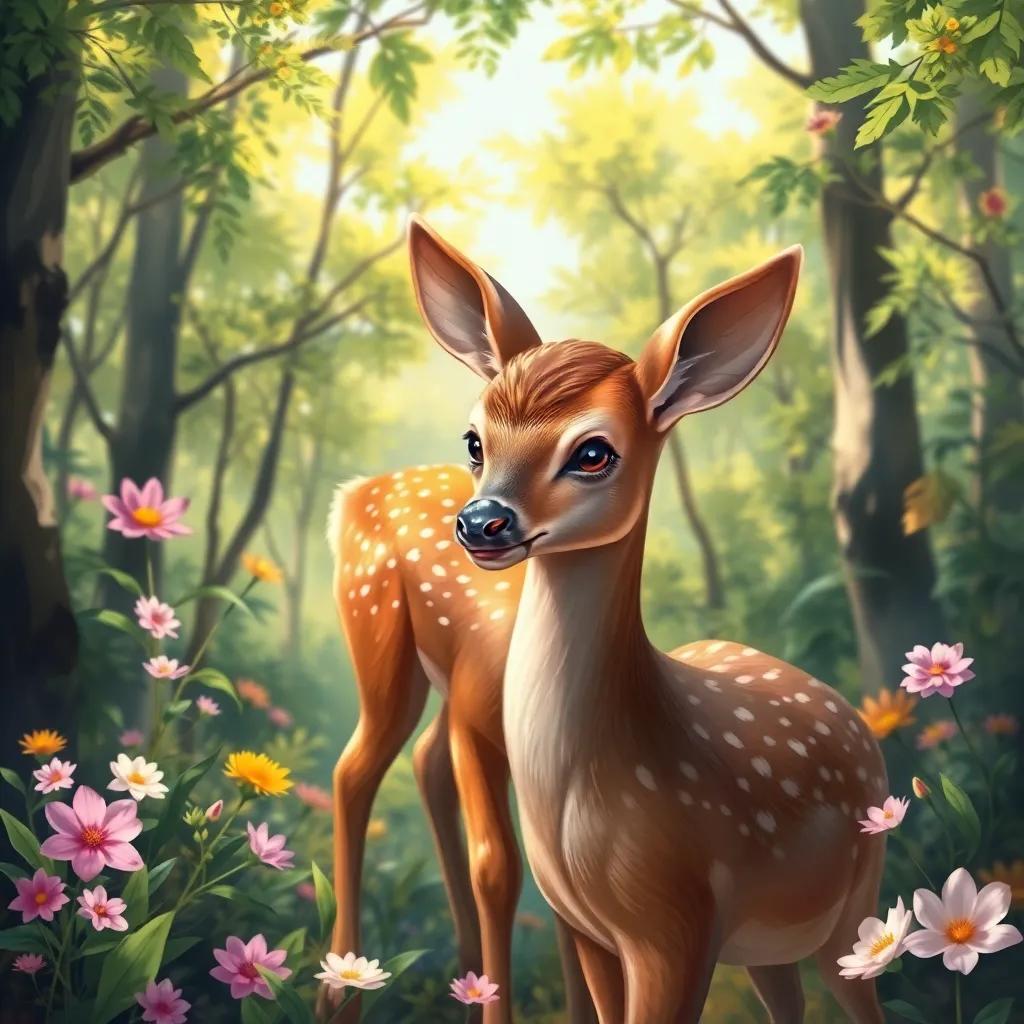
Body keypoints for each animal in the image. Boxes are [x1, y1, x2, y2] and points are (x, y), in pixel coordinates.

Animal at [325, 465, 595, 1023]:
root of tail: (357, 492)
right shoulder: (476, 728)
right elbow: (496, 868)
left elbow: (564, 897)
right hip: (384, 637)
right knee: (354, 770)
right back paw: (340, 993)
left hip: (446, 676)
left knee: (426, 759)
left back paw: (465, 983)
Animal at [407, 214, 890, 1024]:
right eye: (474, 441)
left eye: (593, 451)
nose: (481, 522)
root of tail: (856, 719)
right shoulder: (592, 929)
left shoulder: (677, 922)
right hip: (766, 943)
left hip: (854, 905)